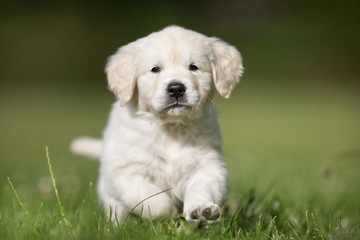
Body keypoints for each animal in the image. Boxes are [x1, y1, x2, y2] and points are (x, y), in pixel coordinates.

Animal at [71, 25, 243, 224]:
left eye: (194, 67)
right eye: (155, 69)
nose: (176, 89)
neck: (171, 128)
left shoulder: (208, 165)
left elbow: (201, 187)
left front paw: (201, 211)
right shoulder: (128, 172)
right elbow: (153, 200)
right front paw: (170, 215)